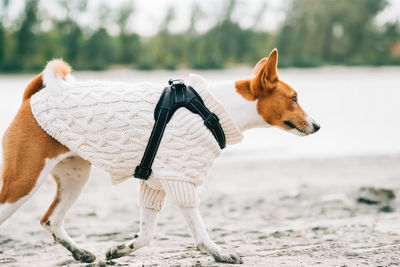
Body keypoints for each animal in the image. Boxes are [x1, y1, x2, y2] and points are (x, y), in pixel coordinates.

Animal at [0, 48, 318, 264]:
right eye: (293, 98)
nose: (317, 125)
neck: (213, 109)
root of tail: (32, 97)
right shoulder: (181, 178)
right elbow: (199, 232)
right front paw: (219, 253)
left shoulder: (154, 183)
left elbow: (146, 235)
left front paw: (120, 249)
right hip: (23, 181)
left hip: (75, 177)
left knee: (50, 220)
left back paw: (79, 252)